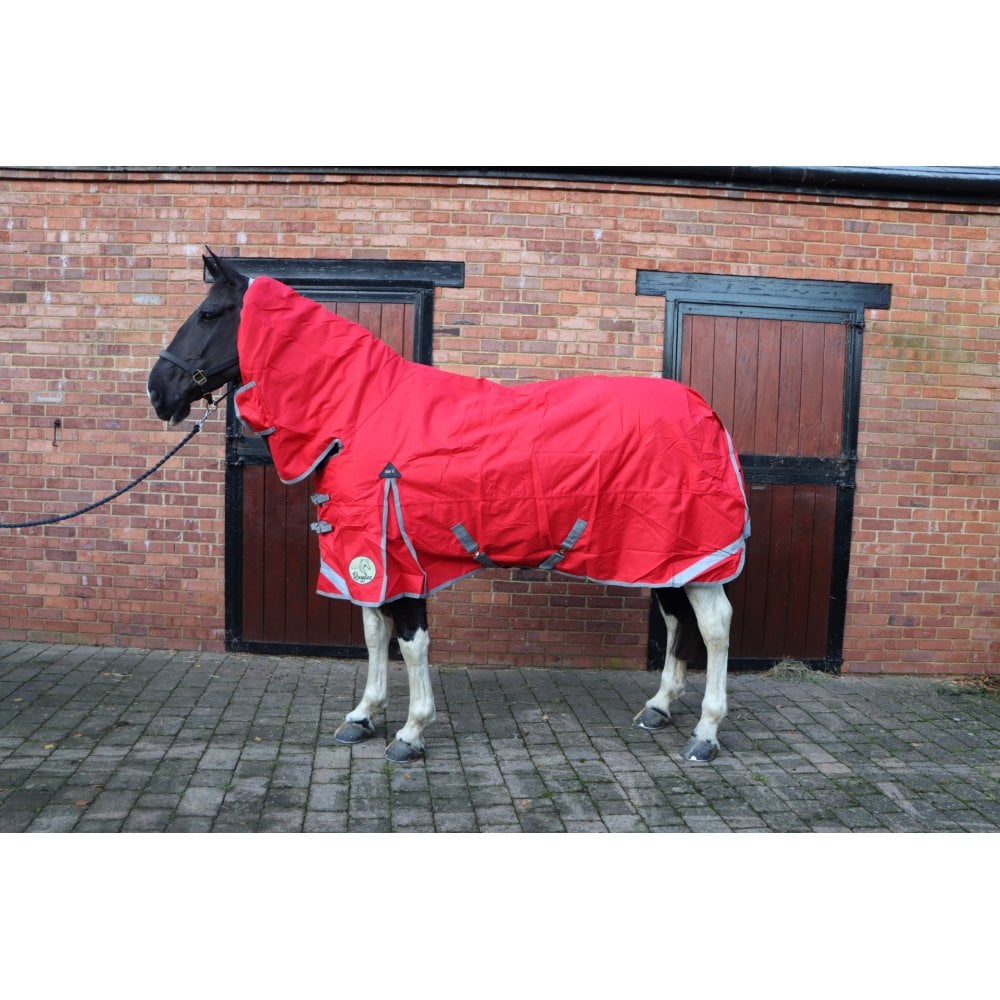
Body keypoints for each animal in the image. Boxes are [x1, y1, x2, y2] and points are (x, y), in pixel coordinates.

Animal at [148, 250, 750, 764]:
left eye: (208, 313)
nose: (158, 391)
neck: (359, 415)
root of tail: (706, 412)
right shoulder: (368, 557)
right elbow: (374, 633)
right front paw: (363, 717)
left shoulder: (396, 554)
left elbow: (410, 642)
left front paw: (411, 732)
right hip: (664, 554)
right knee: (676, 617)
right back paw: (660, 708)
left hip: (691, 546)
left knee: (716, 625)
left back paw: (705, 733)